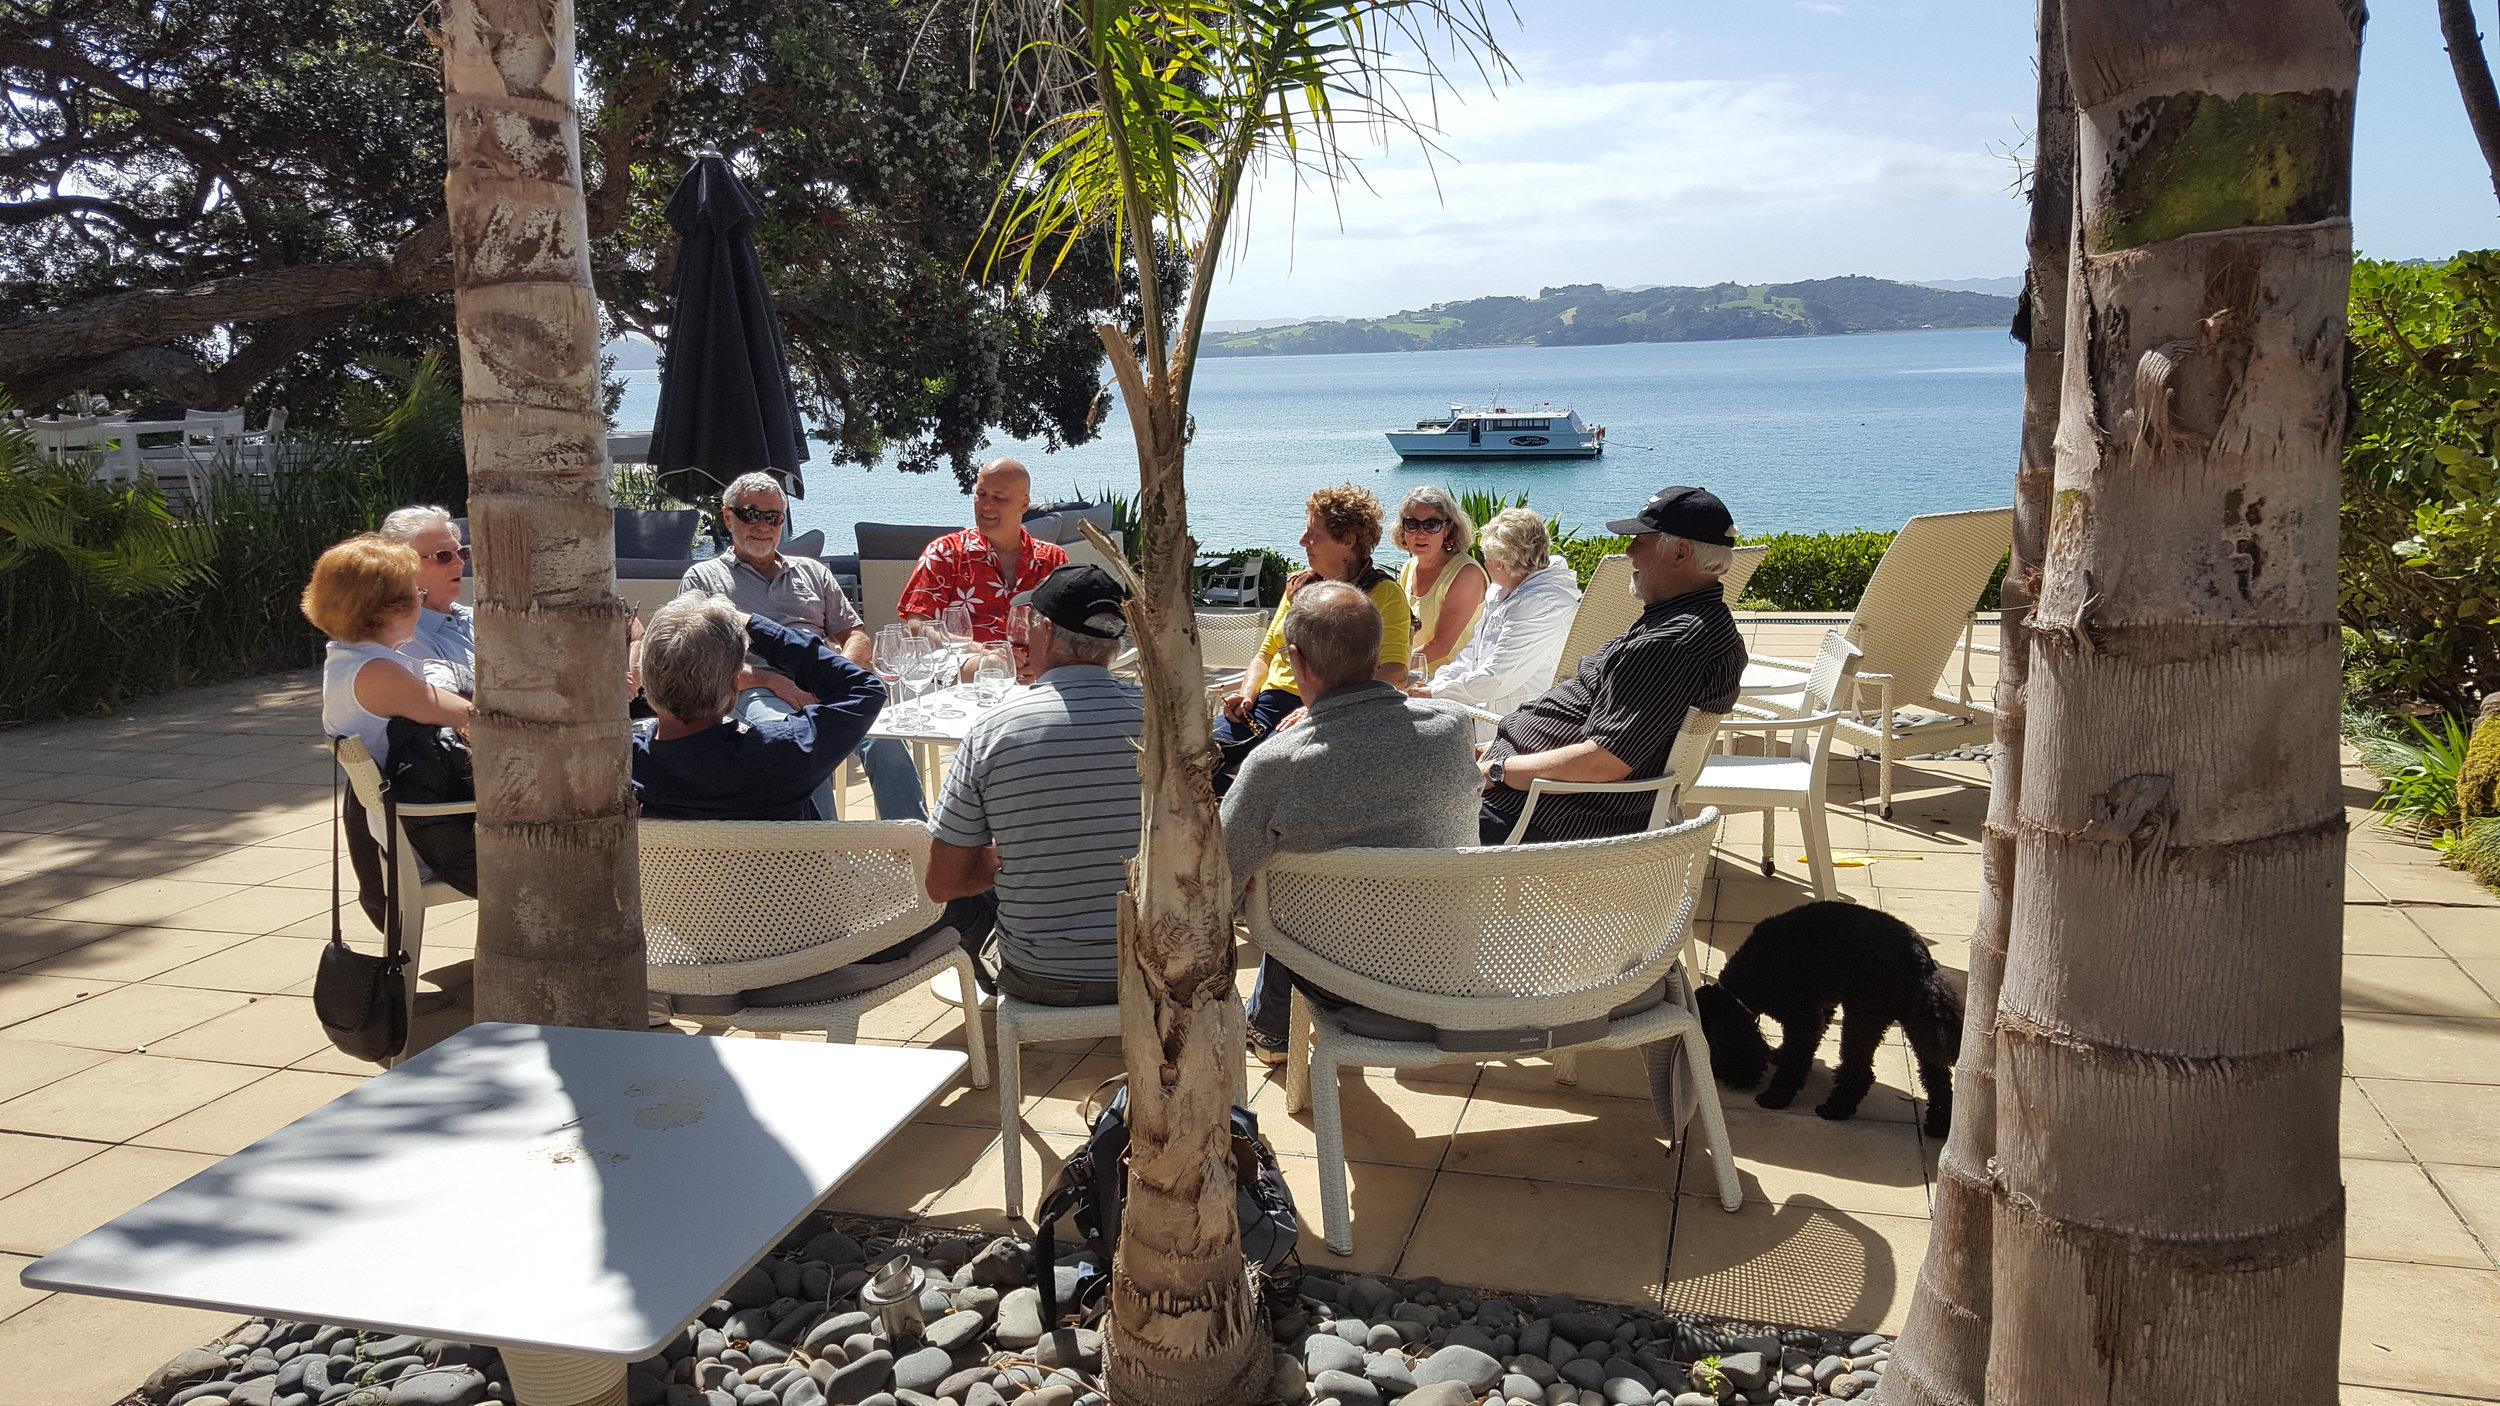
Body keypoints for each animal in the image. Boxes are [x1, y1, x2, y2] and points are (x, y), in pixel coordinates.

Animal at [1700, 895, 1970, 1140]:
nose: (1716, 1076)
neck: (1750, 975)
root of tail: (1921, 961)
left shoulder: (1803, 1017)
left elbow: (1795, 1060)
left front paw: (1776, 1096)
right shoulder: (1822, 1005)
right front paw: (1779, 1055)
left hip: (1864, 1016)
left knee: (1860, 1072)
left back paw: (1836, 1108)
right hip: (1919, 1022)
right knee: (1937, 1077)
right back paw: (1939, 1124)